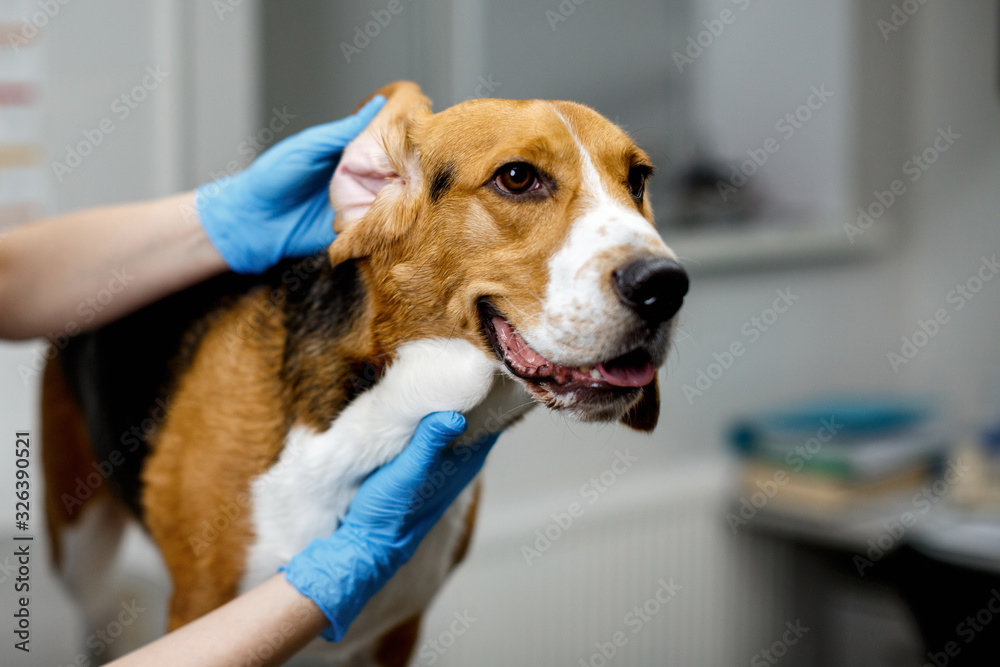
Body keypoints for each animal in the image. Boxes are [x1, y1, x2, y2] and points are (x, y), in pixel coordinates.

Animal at [39, 81, 688, 664]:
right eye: (517, 177)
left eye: (638, 180)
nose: (666, 286)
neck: (382, 423)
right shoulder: (196, 607)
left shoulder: (396, 635)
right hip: (80, 552)